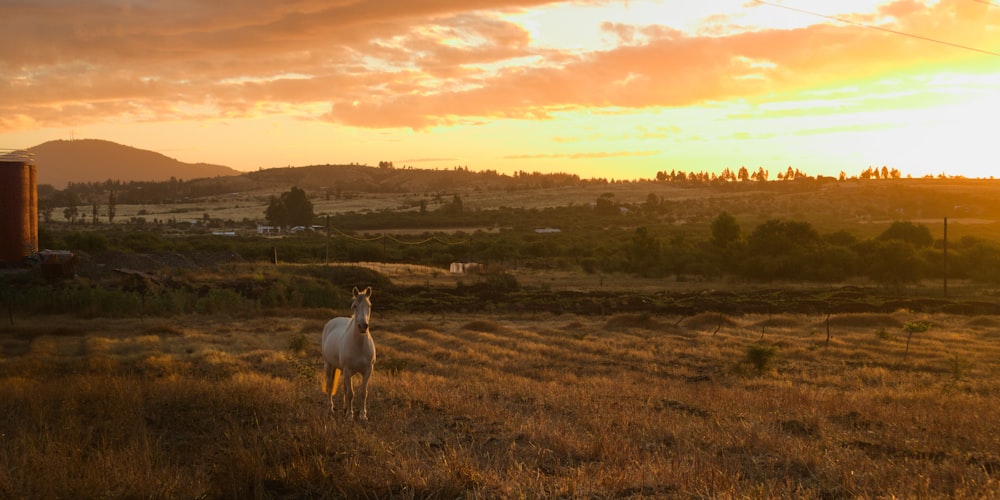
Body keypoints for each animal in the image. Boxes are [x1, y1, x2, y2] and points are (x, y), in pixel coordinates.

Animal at [322, 288, 376, 420]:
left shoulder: (368, 370)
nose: (363, 326)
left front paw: (362, 415)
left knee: (345, 388)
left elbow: (363, 393)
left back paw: (345, 409)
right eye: (354, 306)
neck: (359, 346)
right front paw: (350, 416)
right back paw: (331, 409)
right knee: (330, 386)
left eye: (369, 306)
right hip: (329, 365)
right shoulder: (348, 369)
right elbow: (351, 393)